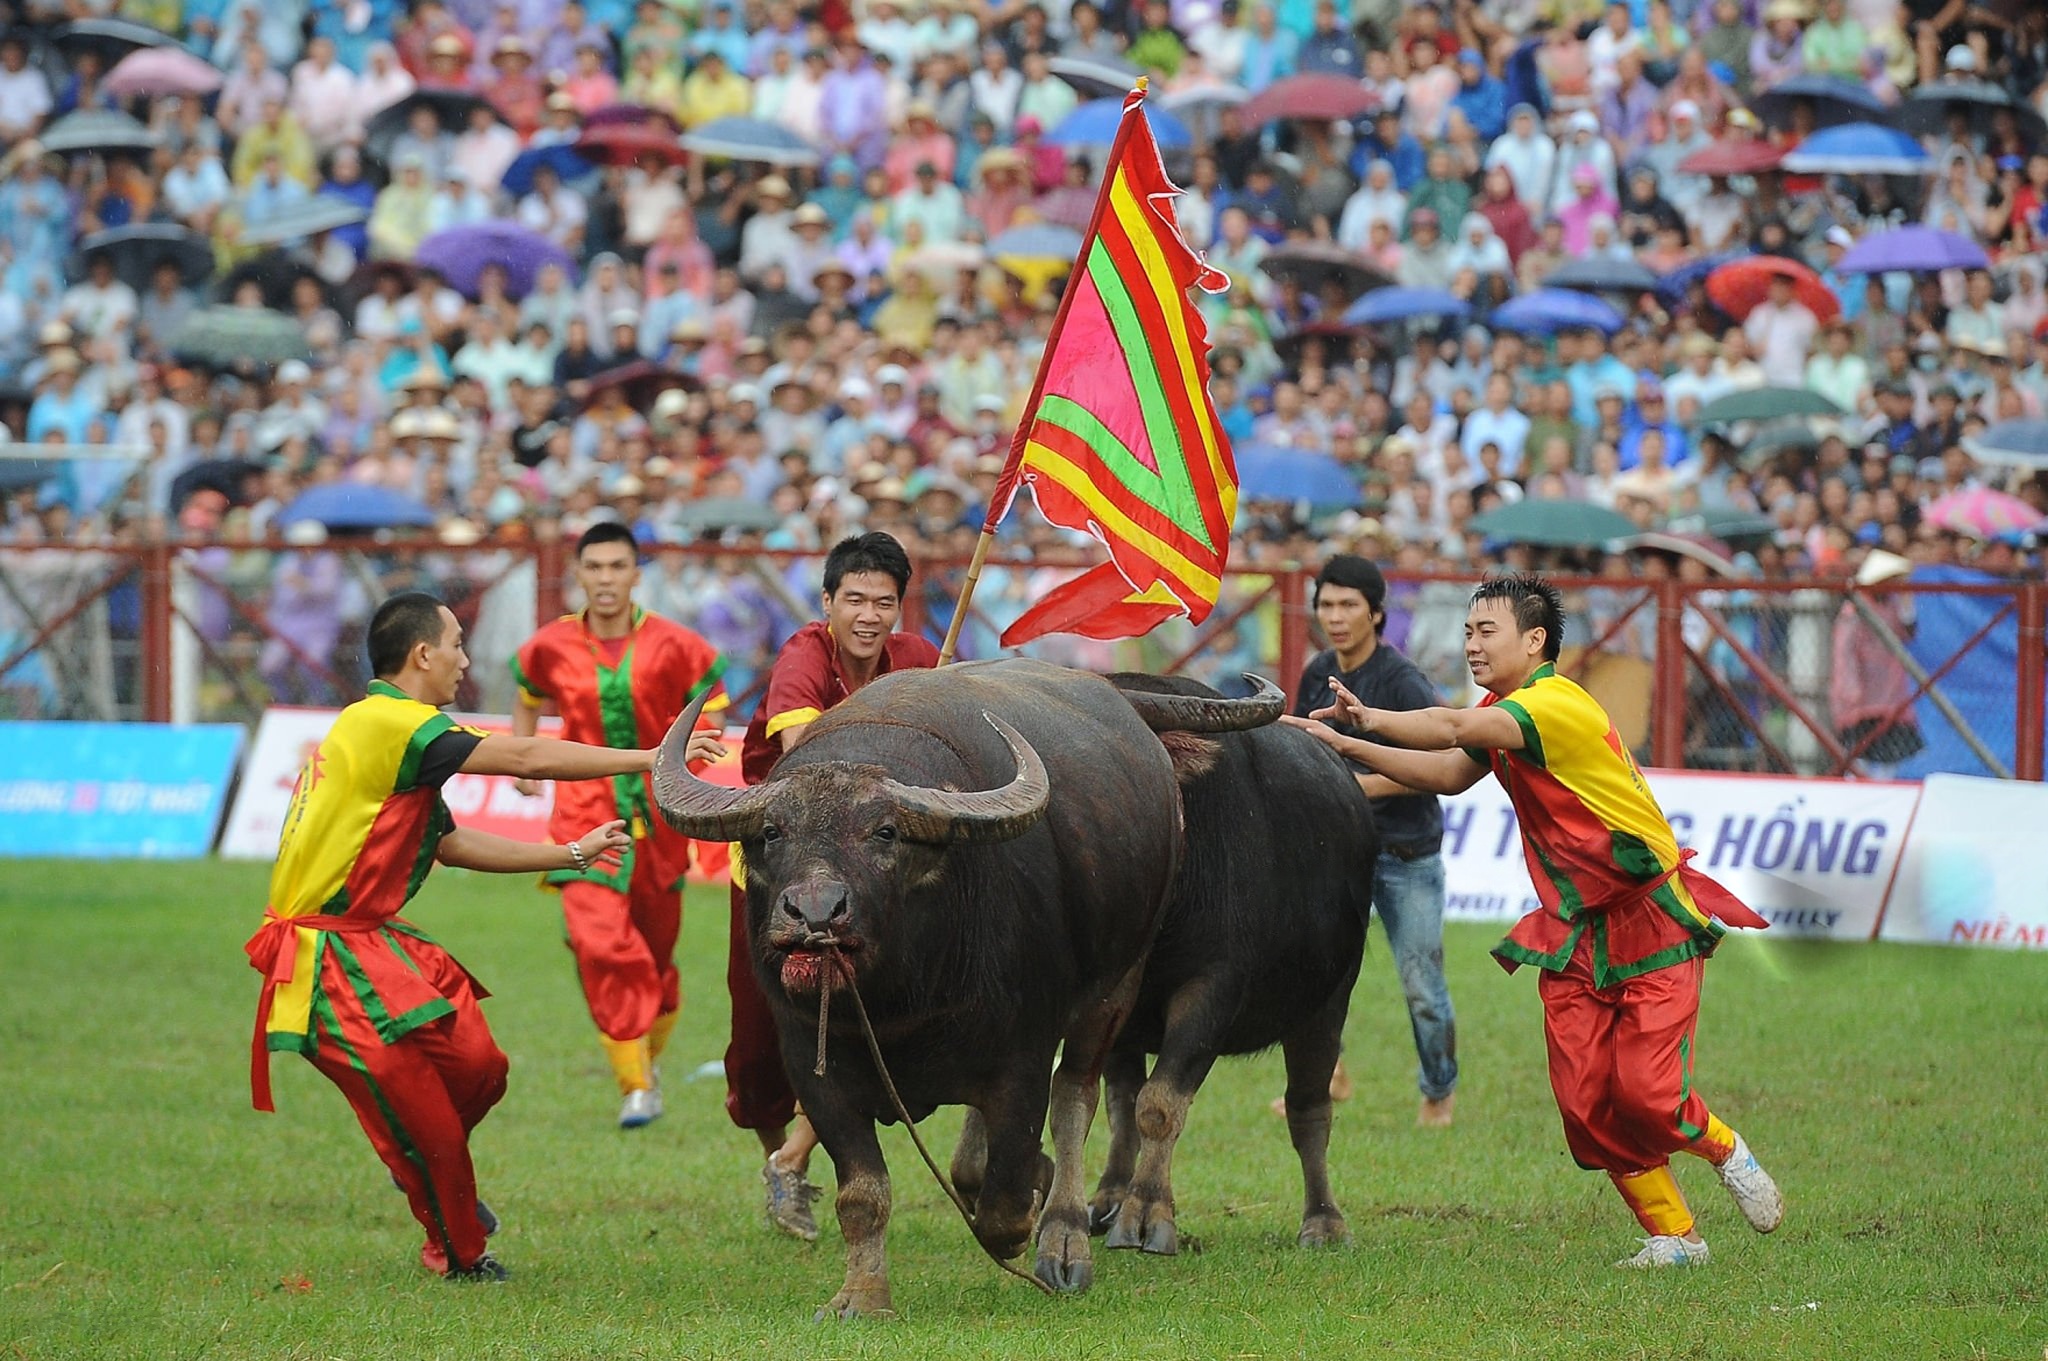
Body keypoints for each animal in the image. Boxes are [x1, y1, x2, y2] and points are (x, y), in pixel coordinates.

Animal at [652, 658, 1281, 1318]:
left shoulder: (1023, 1059)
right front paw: (861, 1294)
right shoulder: (814, 1070)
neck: (903, 998)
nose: (816, 914)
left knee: (1076, 1099)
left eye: (884, 833)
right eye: (772, 832)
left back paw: (1064, 1239)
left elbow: (1007, 1199)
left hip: (1117, 986)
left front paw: (1031, 1214)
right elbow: (864, 1194)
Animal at [1088, 672, 1379, 1255]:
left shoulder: (1213, 991)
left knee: (1308, 1108)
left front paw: (1148, 1215)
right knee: (1122, 1100)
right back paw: (1108, 1196)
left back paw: (1324, 1221)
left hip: (1328, 1000)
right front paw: (1120, 1204)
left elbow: (1161, 1105)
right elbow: (1125, 1105)